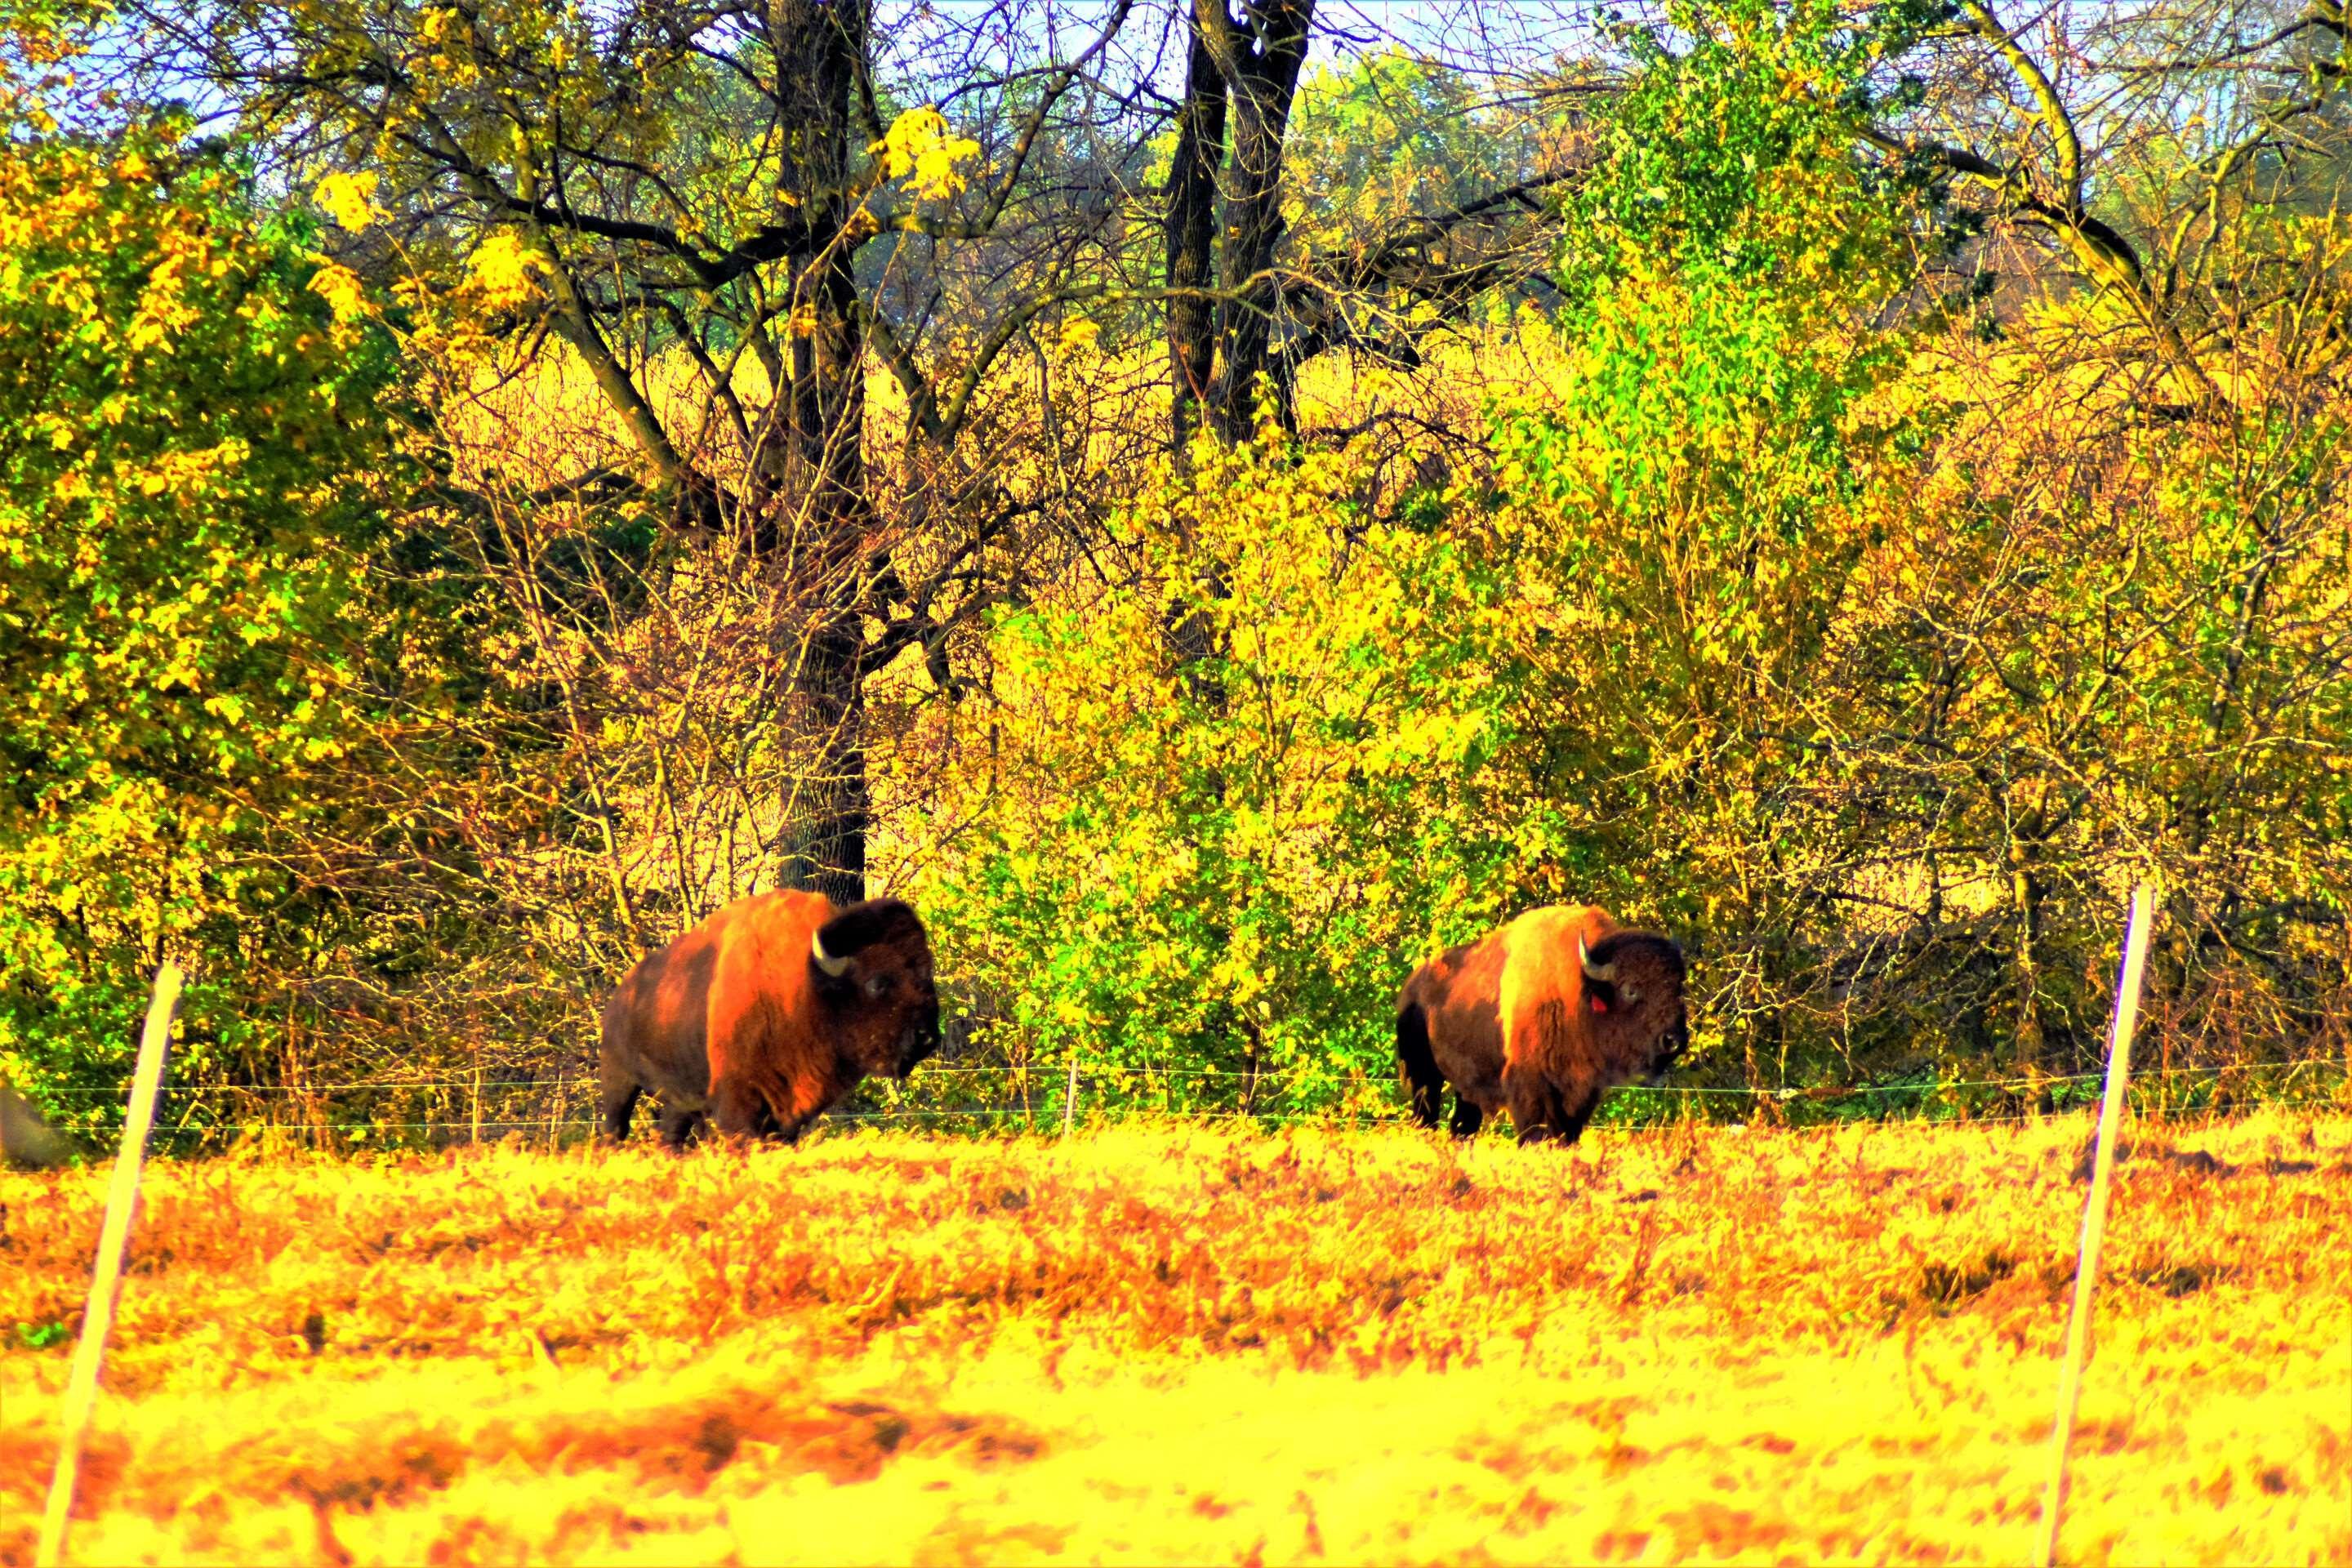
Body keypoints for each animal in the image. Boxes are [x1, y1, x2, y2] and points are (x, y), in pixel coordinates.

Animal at [592, 889, 941, 1147]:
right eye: (877, 983)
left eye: (927, 976)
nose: (927, 1037)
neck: (807, 983)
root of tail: (618, 997)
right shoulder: (737, 1101)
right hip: (618, 1079)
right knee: (615, 1127)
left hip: (677, 1097)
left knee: (670, 1134)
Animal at [1392, 902, 1693, 1147]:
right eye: (1630, 989)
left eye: (1679, 987)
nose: (1673, 1040)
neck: (1579, 991)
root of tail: (1413, 984)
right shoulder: (1530, 1087)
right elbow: (1534, 1132)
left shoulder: (1580, 1093)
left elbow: (1567, 1133)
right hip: (1423, 1075)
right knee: (1427, 1117)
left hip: (1465, 1085)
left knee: (1463, 1124)